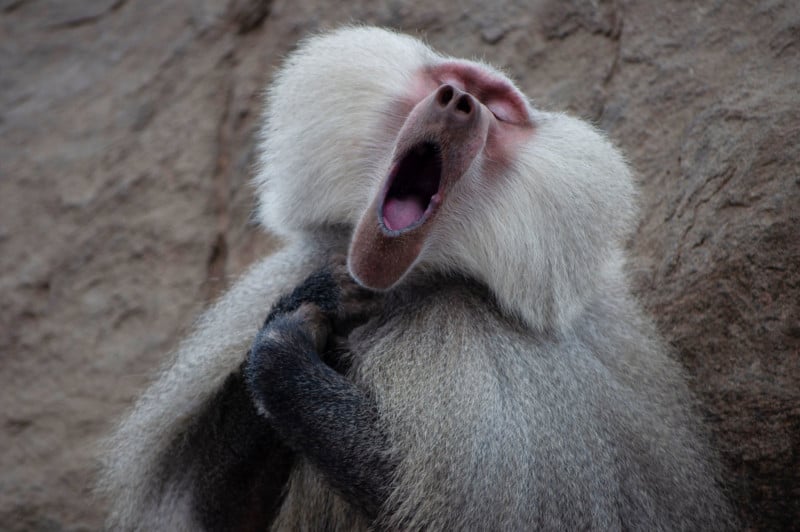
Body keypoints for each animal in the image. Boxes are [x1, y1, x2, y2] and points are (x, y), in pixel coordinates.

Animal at [99, 26, 735, 530]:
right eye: (452, 81)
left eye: (499, 110)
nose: (458, 102)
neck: (400, 286)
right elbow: (226, 513)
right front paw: (315, 301)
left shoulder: (497, 357)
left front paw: (284, 352)